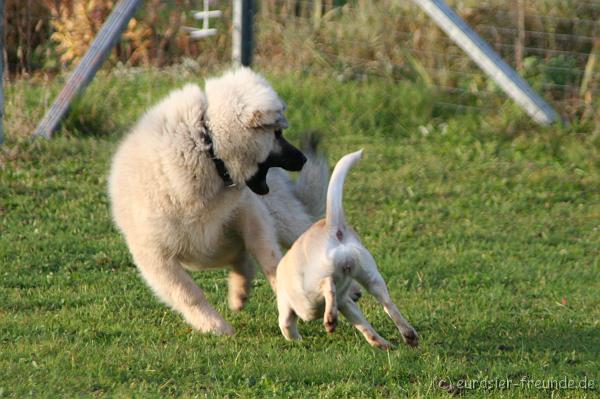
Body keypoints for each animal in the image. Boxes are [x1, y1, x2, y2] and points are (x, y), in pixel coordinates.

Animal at [110, 69, 330, 338]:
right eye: (277, 134)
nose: (303, 159)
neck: (207, 148)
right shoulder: (155, 255)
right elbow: (188, 293)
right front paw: (214, 325)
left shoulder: (250, 212)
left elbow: (268, 257)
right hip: (206, 248)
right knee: (238, 258)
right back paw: (239, 292)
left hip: (280, 220)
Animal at [276, 150, 418, 350]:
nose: (358, 294)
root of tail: (331, 226)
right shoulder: (347, 304)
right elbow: (365, 326)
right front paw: (382, 343)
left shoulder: (292, 308)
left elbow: (286, 325)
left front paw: (297, 339)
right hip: (371, 276)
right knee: (388, 304)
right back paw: (408, 335)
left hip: (310, 297)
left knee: (327, 285)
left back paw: (330, 320)